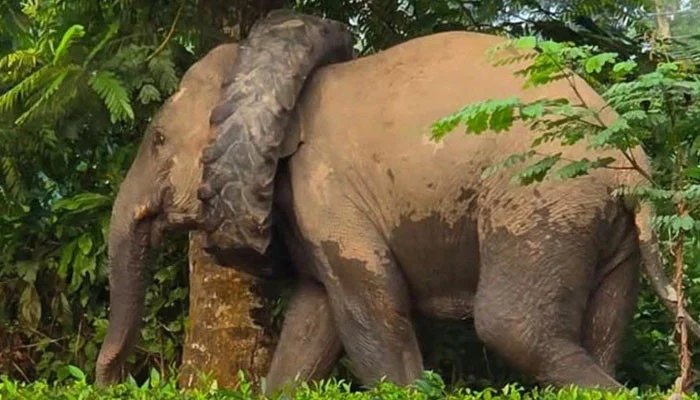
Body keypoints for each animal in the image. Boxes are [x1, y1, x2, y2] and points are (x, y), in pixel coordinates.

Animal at [95, 10, 700, 393]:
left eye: (157, 140)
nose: (108, 379)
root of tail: (629, 158)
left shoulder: (328, 192)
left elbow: (374, 305)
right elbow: (313, 321)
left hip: (541, 199)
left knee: (511, 327)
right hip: (603, 224)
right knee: (602, 329)